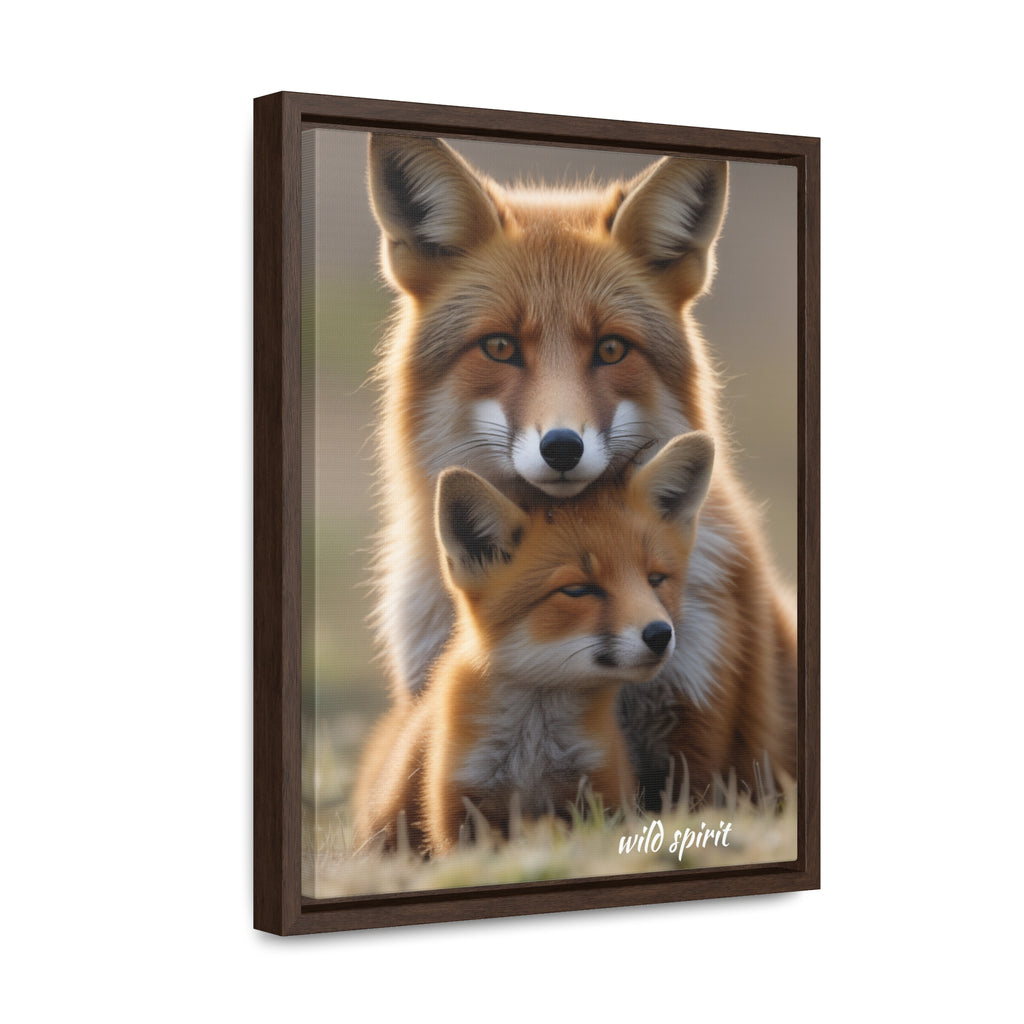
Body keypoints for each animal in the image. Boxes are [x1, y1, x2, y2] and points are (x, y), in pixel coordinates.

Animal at [353, 433, 714, 855]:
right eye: (577, 590)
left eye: (655, 580)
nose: (660, 634)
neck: (533, 754)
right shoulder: (459, 809)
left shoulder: (601, 791)